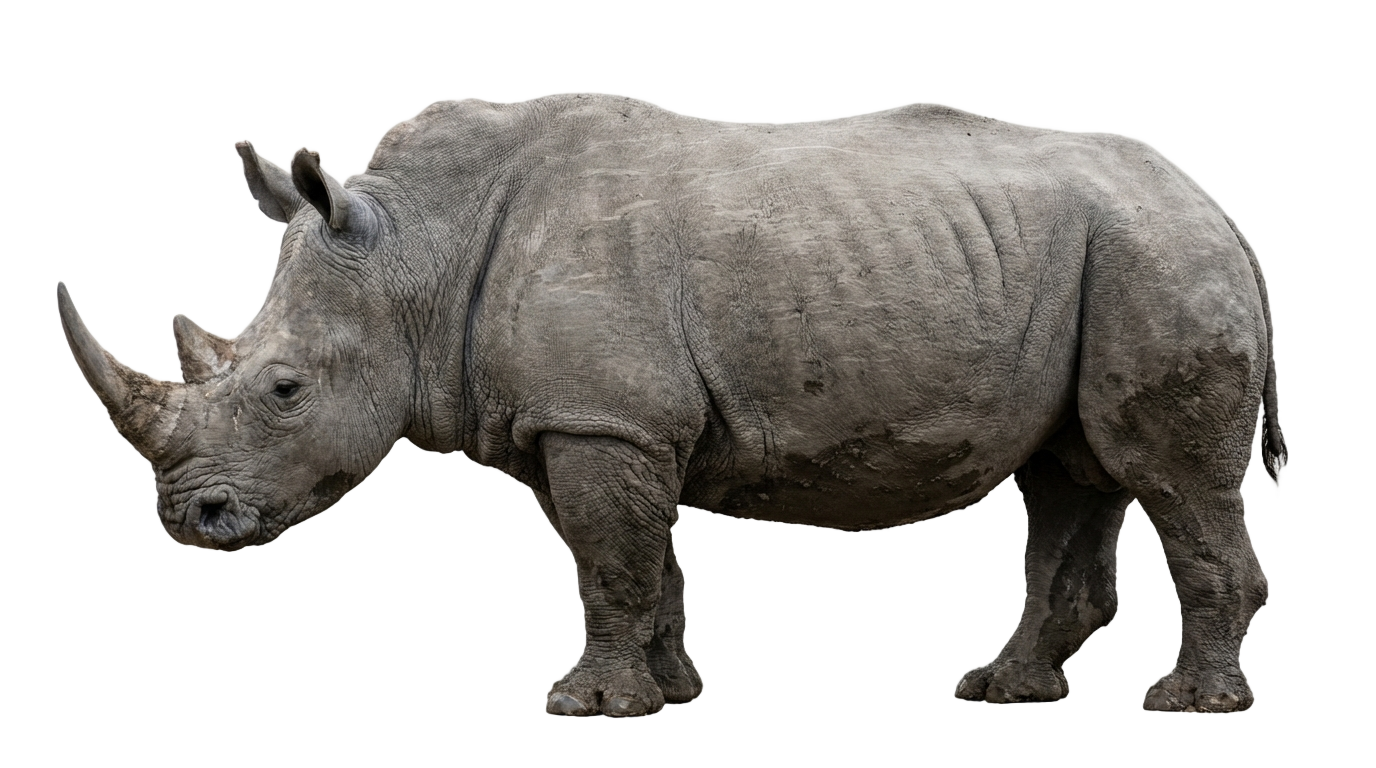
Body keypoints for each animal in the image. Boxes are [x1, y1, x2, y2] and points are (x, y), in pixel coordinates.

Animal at [57, 94, 1285, 717]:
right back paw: (1007, 693)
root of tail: (1217, 209)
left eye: (284, 390)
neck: (418, 251)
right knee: (1066, 476)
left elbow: (610, 558)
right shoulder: (594, 417)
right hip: (1104, 259)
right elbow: (636, 562)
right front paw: (670, 692)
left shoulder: (603, 417)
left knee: (1164, 478)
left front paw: (589, 711)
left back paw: (1189, 709)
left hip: (1157, 260)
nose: (191, 520)